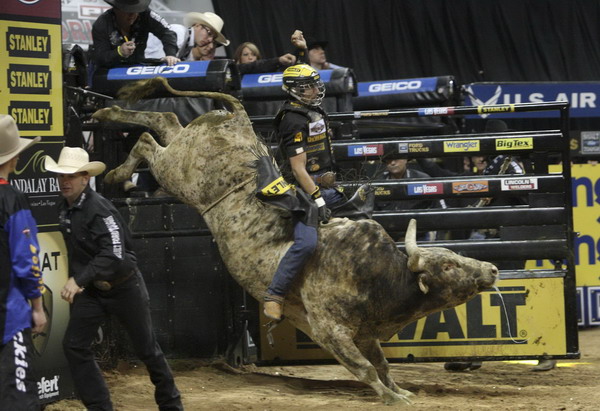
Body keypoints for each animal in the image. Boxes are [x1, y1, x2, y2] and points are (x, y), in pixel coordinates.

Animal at [94, 78, 496, 406]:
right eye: (448, 265)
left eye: (452, 253)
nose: (492, 269)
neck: (381, 277)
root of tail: (240, 120)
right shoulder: (328, 330)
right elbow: (364, 368)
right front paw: (390, 397)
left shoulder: (367, 333)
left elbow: (381, 363)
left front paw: (399, 390)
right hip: (178, 173)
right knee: (149, 142)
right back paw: (116, 169)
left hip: (185, 149)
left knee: (164, 122)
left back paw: (108, 116)